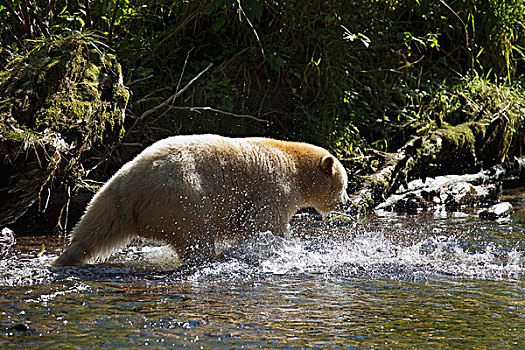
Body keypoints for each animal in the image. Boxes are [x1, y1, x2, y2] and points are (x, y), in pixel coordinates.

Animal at [54, 134, 348, 266]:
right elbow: (262, 223)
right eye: (344, 184)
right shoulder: (274, 187)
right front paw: (282, 246)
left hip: (112, 196)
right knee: (196, 236)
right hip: (184, 197)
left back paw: (66, 258)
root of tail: (135, 185)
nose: (346, 202)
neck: (293, 165)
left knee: (94, 228)